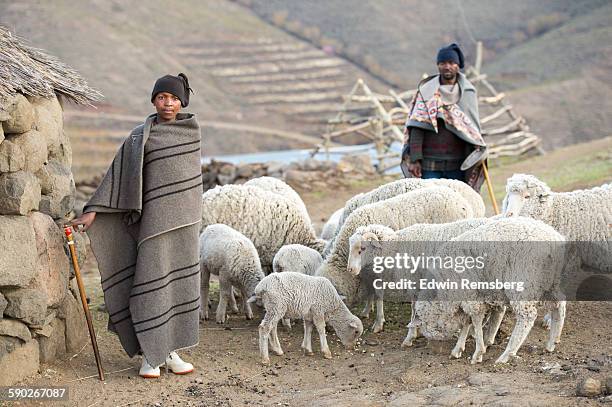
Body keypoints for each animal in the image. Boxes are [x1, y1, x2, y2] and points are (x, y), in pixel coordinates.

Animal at [406, 218, 568, 364]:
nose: (434, 348)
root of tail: (554, 240)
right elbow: (468, 322)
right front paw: (460, 348)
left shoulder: (469, 295)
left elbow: (475, 320)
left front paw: (478, 352)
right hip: (551, 283)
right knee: (560, 305)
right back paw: (552, 342)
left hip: (523, 281)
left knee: (527, 316)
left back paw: (507, 355)